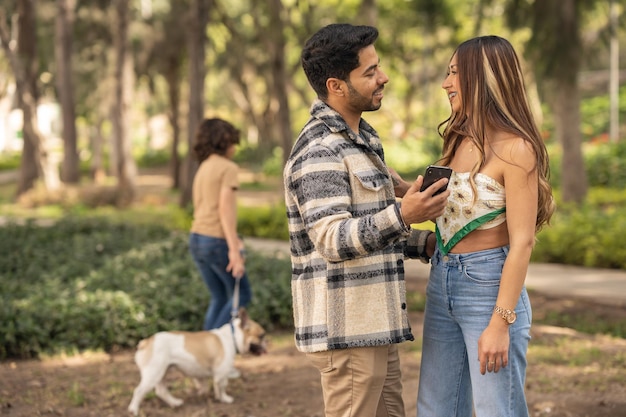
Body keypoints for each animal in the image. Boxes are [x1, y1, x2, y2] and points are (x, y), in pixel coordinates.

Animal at [127, 308, 264, 414]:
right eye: (261, 336)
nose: (266, 344)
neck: (232, 336)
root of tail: (146, 342)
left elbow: (203, 382)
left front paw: (204, 392)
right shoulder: (221, 372)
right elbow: (223, 385)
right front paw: (224, 398)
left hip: (162, 372)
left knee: (161, 391)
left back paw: (175, 403)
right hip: (153, 373)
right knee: (139, 391)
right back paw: (133, 410)